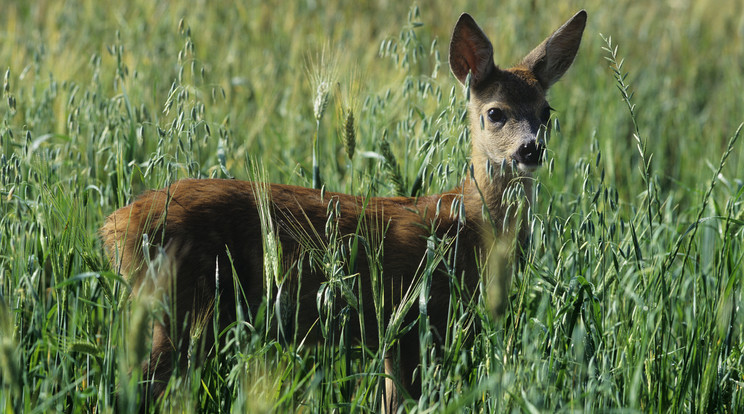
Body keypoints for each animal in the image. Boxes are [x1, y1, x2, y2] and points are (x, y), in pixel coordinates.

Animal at [100, 8, 588, 410]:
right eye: (495, 112)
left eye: (546, 111)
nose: (530, 149)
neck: (466, 225)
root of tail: (116, 224)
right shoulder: (414, 321)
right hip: (182, 307)